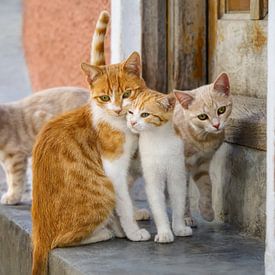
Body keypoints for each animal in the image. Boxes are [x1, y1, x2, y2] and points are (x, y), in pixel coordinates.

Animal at [175, 73, 233, 226]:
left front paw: (207, 211)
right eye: (202, 116)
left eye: (221, 110)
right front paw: (185, 218)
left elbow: (207, 186)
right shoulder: (180, 167)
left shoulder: (202, 163)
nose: (217, 125)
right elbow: (182, 193)